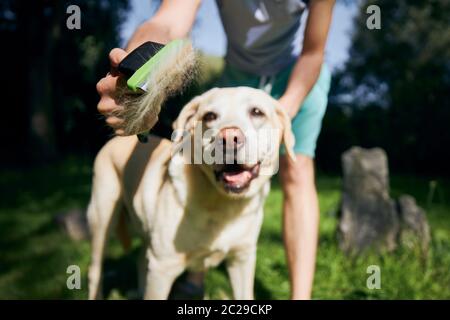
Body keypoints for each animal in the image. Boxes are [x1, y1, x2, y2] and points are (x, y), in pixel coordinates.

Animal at [87, 86, 296, 298]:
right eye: (210, 116)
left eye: (257, 112)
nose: (229, 138)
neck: (223, 204)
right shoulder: (162, 268)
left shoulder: (242, 259)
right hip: (102, 218)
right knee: (95, 271)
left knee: (139, 260)